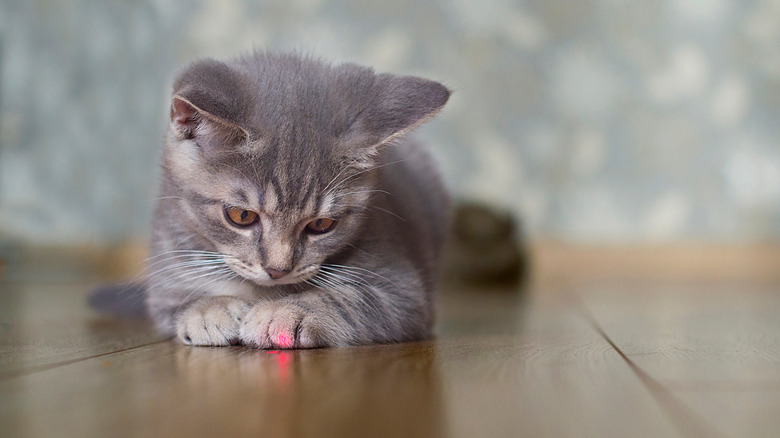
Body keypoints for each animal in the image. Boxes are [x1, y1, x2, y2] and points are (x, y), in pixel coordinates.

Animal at [146, 52, 450, 350]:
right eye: (242, 216)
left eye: (322, 224)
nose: (277, 270)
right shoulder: (165, 276)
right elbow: (180, 300)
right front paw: (209, 310)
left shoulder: (403, 291)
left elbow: (348, 299)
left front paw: (284, 312)